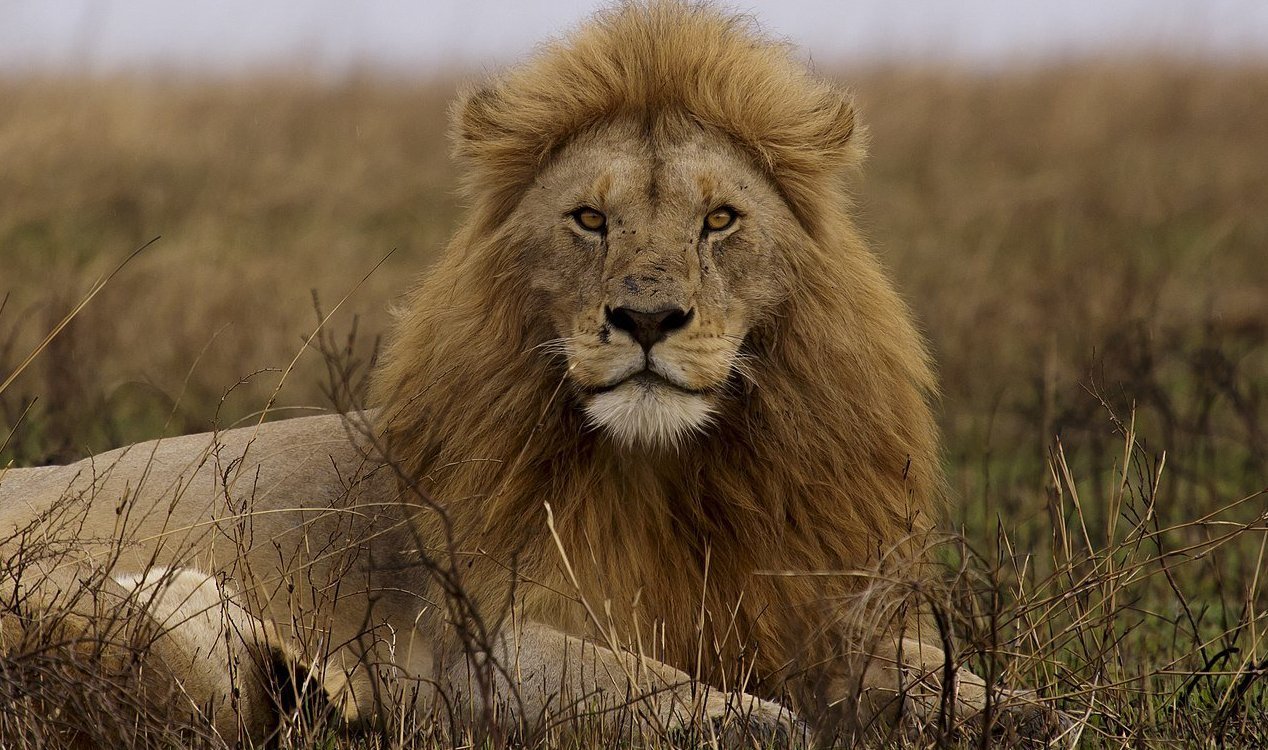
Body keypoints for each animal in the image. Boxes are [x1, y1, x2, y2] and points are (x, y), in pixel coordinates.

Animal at [0, 2, 1068, 746]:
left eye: (720, 220)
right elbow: (632, 683)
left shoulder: (791, 611)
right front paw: (753, 721)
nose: (646, 319)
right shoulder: (459, 640)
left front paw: (1028, 711)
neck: (666, 485)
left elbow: (934, 670)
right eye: (589, 220)